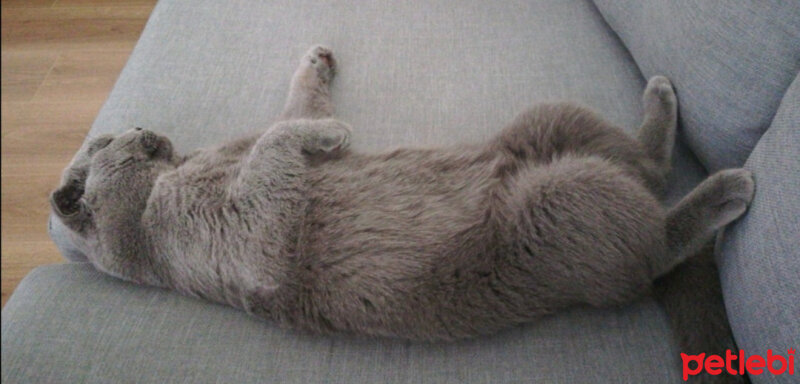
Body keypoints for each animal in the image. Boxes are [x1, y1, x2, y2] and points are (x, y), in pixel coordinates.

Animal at [53, 45, 752, 342]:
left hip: (552, 121)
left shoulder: (267, 143)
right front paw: (335, 130)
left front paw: (319, 67)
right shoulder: (254, 229)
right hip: (561, 207)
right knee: (657, 241)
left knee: (648, 168)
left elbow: (291, 112)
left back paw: (660, 101)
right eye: (105, 138)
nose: (139, 126)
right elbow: (279, 141)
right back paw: (726, 186)